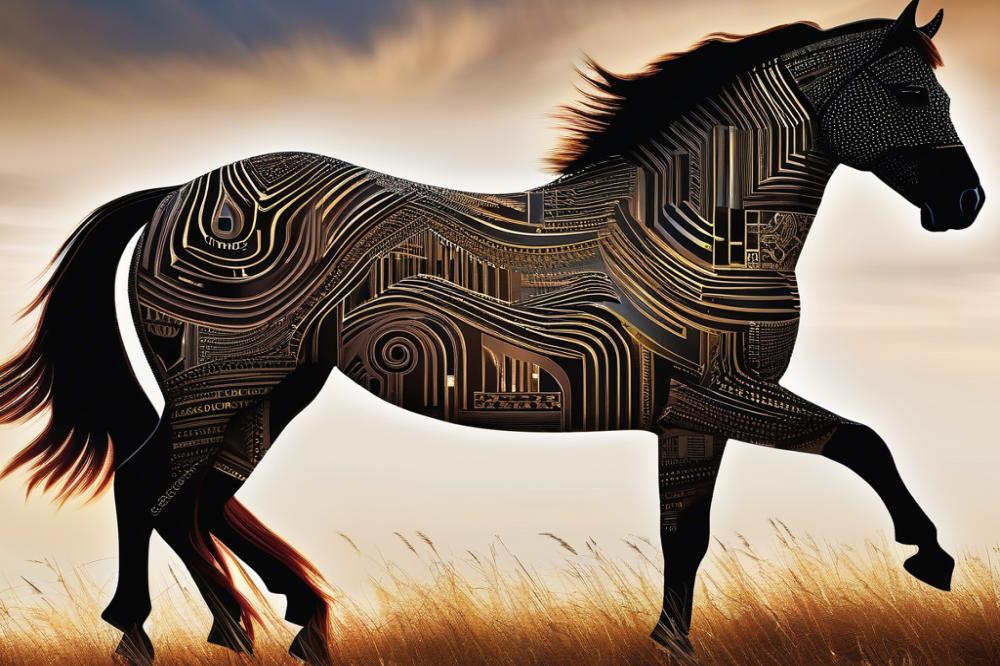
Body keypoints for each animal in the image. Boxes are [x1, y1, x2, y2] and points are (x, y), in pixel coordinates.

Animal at [0, 1, 984, 662]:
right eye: (908, 93)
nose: (966, 205)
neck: (695, 228)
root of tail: (172, 191)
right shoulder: (720, 391)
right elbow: (860, 440)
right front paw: (930, 554)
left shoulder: (689, 414)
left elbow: (686, 534)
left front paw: (670, 642)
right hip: (222, 378)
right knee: (148, 487)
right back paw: (150, 632)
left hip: (276, 386)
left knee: (196, 499)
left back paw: (284, 624)